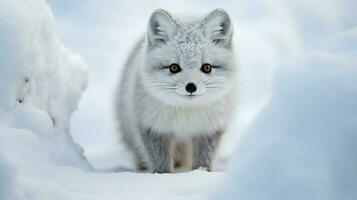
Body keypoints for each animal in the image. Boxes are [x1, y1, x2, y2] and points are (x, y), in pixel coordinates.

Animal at [115, 8, 235, 173]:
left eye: (206, 67)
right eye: (174, 67)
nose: (191, 87)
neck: (185, 114)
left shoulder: (209, 129)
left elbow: (204, 160)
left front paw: (200, 173)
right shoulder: (153, 127)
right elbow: (160, 161)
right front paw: (164, 175)